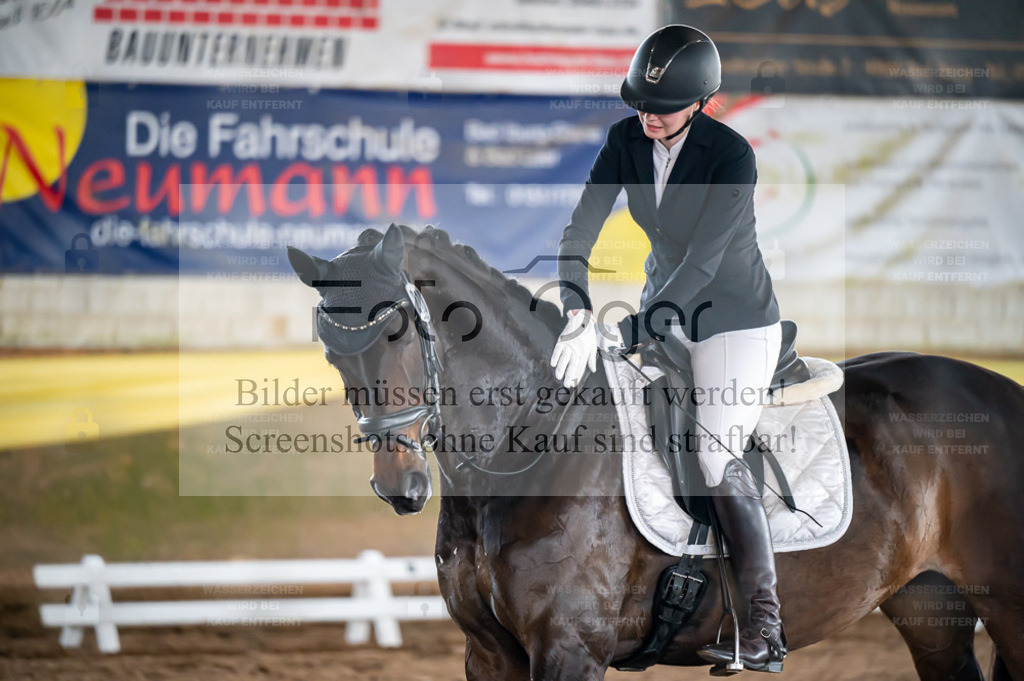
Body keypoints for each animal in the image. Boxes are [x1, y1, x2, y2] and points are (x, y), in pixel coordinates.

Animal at [290, 224, 1024, 679]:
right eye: (332, 351)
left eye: (396, 330)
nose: (401, 486)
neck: (528, 448)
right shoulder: (488, 652)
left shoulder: (569, 647)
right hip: (929, 604)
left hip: (1008, 604)